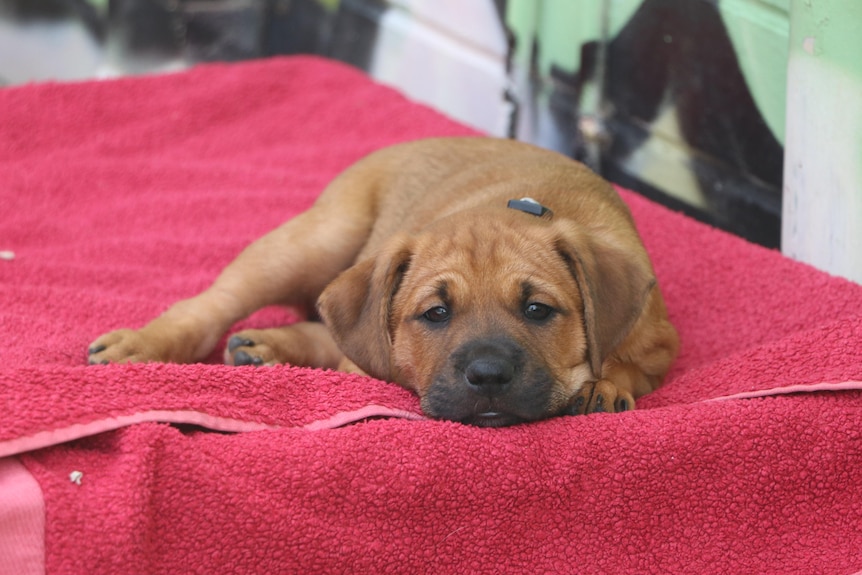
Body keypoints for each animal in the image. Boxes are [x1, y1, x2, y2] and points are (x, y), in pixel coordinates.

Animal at [89, 137, 680, 428]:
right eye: (436, 313)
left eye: (538, 310)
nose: (488, 376)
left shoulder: (659, 343)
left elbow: (625, 362)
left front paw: (604, 385)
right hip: (316, 239)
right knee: (216, 304)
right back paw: (142, 344)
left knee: (329, 325)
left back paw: (265, 348)